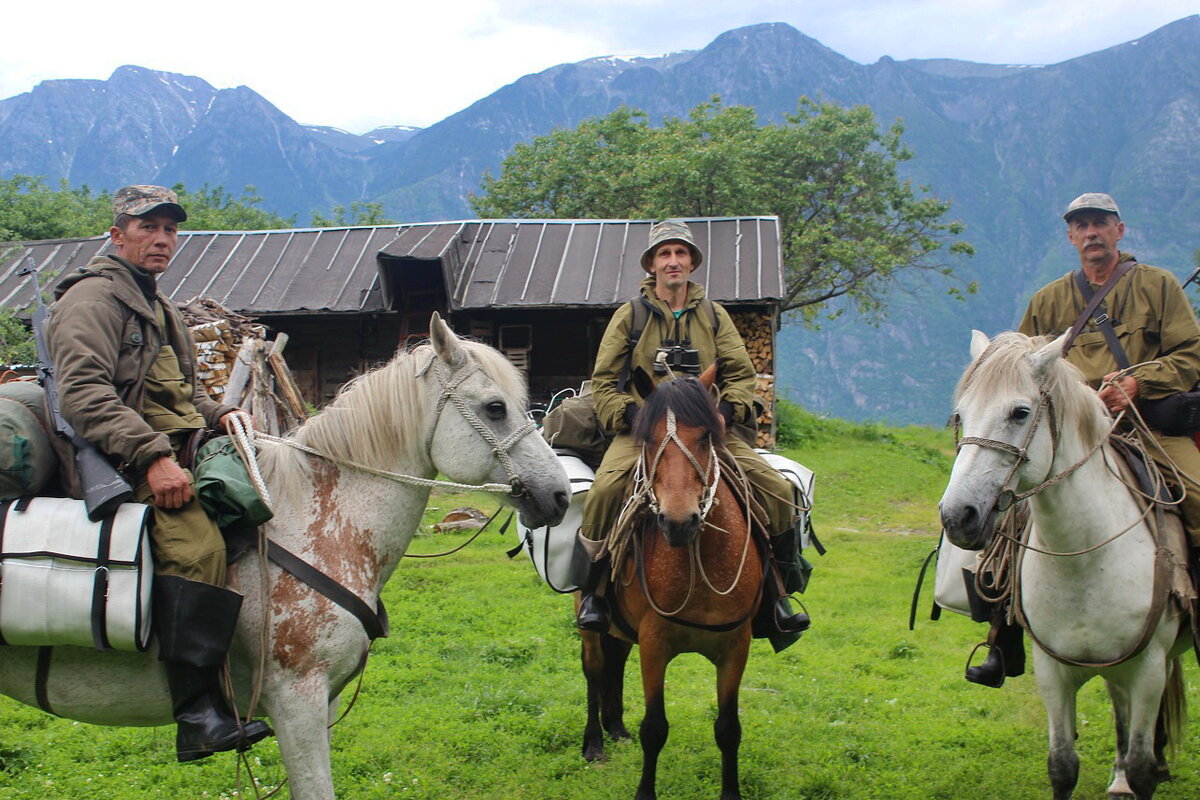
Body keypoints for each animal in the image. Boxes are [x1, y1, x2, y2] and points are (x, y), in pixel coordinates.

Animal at [583, 367, 768, 800]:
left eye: (705, 435)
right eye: (647, 440)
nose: (679, 521)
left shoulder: (736, 647)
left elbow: (728, 729)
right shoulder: (655, 643)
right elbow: (655, 728)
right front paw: (644, 792)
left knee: (616, 660)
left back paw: (616, 727)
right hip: (590, 623)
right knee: (595, 670)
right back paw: (594, 741)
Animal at [940, 328, 1195, 796]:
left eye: (1020, 412)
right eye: (961, 415)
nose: (957, 515)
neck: (1086, 563)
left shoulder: (1148, 668)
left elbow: (1143, 768)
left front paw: (1145, 772)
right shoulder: (1053, 672)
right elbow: (1062, 766)